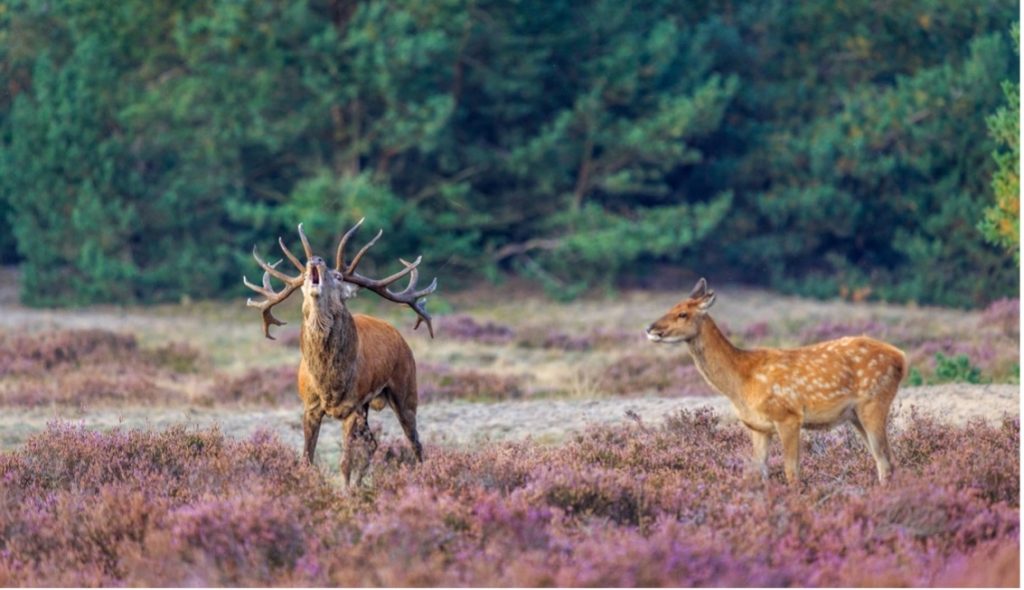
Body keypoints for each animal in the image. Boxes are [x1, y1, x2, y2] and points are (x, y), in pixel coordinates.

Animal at [243, 219, 436, 485]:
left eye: (337, 276)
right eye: (305, 277)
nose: (315, 259)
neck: (329, 383)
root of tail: (399, 336)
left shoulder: (352, 406)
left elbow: (345, 462)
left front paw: (345, 491)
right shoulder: (310, 406)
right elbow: (307, 459)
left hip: (406, 388)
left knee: (415, 442)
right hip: (369, 405)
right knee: (372, 444)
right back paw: (361, 484)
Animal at [647, 278, 905, 483]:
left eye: (683, 313)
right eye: (671, 306)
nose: (650, 328)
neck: (741, 381)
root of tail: (901, 357)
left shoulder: (788, 416)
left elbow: (792, 472)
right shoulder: (757, 427)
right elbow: (760, 472)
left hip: (874, 402)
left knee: (885, 461)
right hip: (855, 415)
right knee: (887, 460)